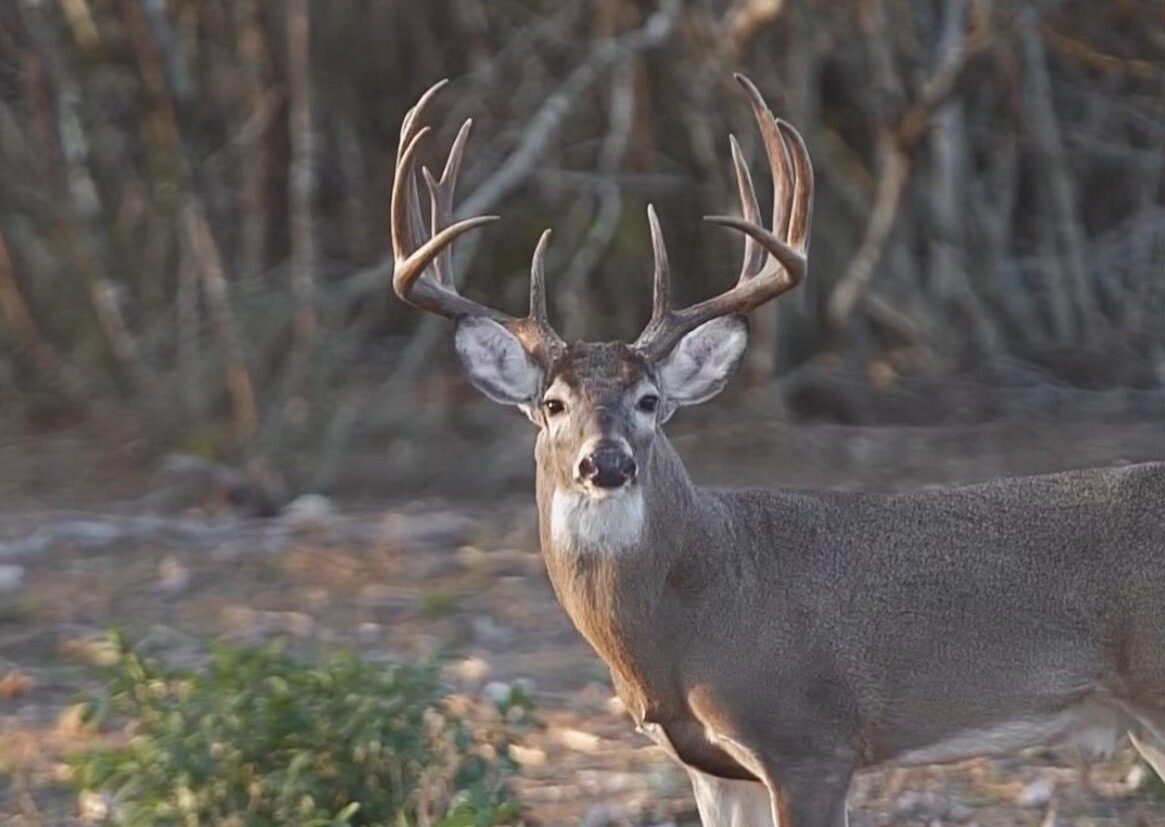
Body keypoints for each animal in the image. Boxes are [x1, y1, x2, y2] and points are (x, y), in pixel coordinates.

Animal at [390, 75, 1165, 826]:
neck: (690, 607)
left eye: (649, 401)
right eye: (552, 405)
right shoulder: (713, 766)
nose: (605, 462)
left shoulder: (809, 739)